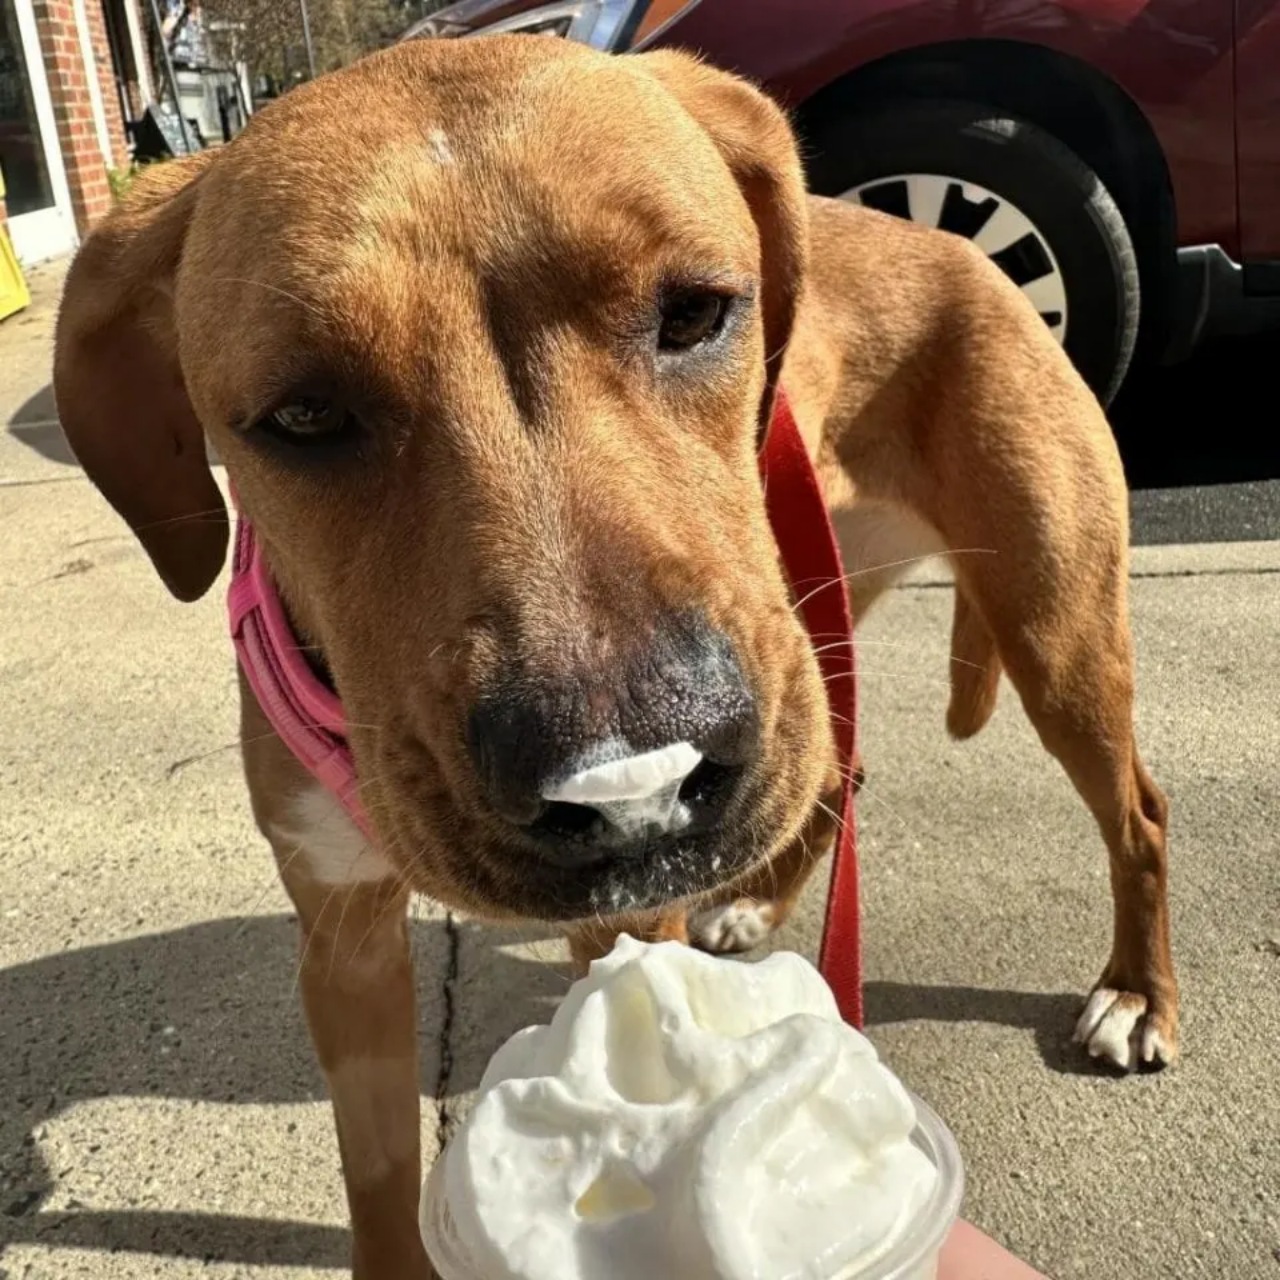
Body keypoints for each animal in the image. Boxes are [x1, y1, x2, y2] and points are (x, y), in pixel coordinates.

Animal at [57, 35, 1177, 1274]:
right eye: (301, 415)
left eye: (694, 312)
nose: (628, 782)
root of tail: (963, 253)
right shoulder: (342, 940)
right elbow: (379, 1171)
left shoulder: (626, 915)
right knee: (835, 772)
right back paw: (761, 902)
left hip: (1047, 630)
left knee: (1134, 812)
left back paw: (1134, 993)